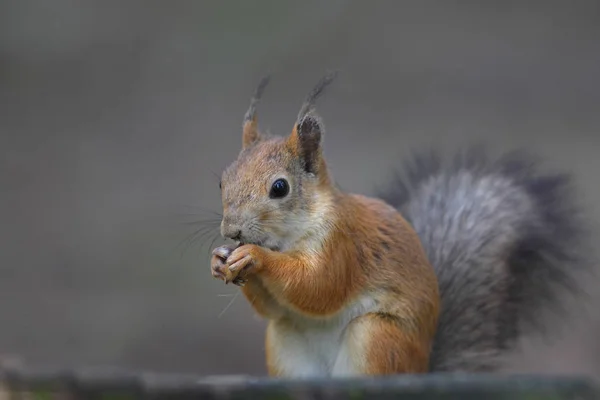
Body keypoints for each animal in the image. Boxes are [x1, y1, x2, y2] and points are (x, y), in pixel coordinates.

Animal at [210, 72, 584, 378]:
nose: (232, 231)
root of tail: (421, 370)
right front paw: (219, 260)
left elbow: (318, 286)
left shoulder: (342, 244)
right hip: (283, 341)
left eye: (280, 188)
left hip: (377, 337)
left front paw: (256, 257)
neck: (288, 238)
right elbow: (273, 306)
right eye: (222, 180)